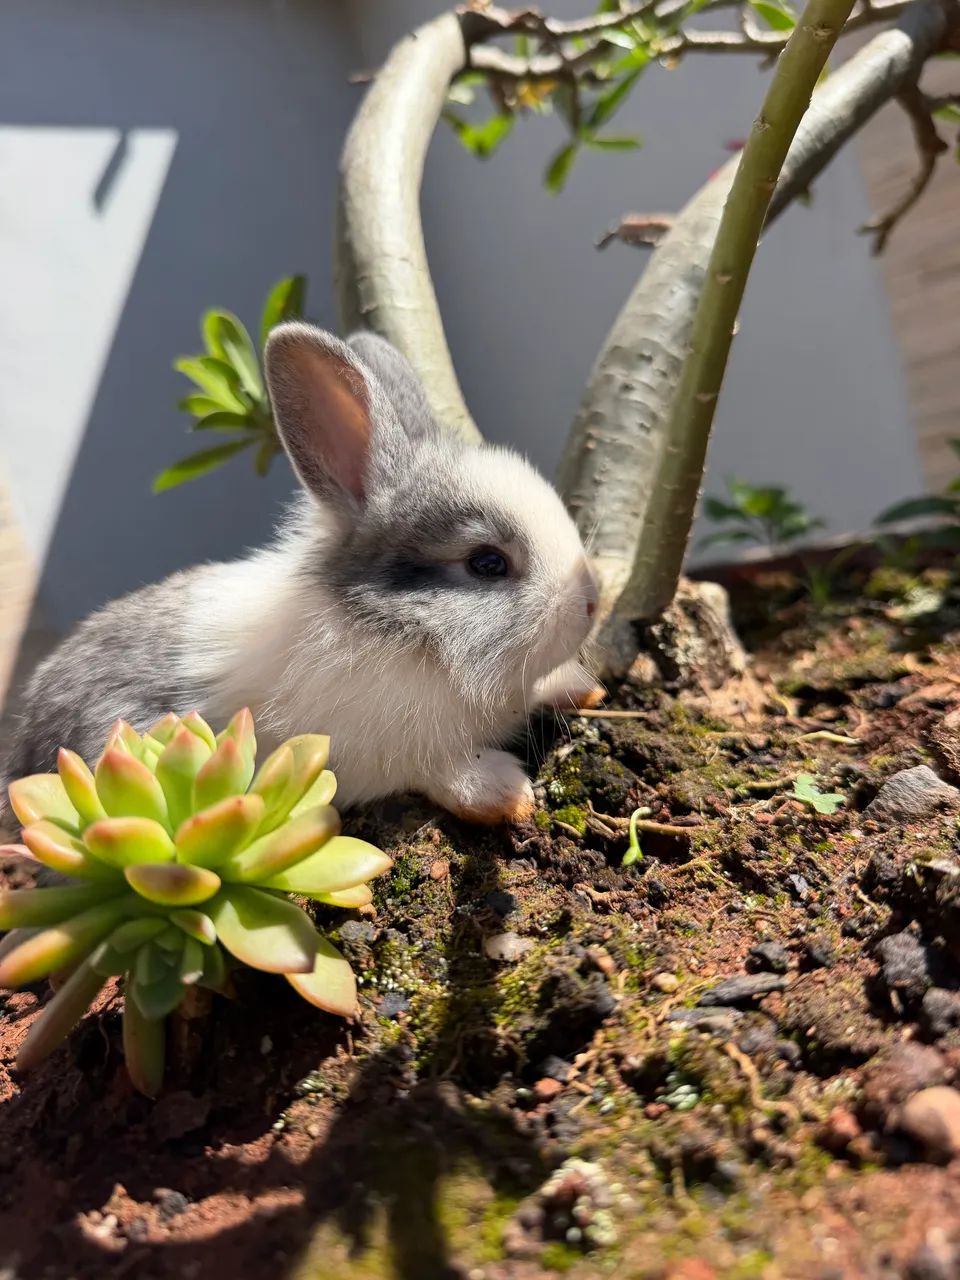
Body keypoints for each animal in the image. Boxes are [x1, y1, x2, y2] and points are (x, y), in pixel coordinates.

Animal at [1, 324, 601, 826]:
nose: (593, 600)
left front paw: (584, 688)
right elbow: (445, 768)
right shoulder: (387, 751)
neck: (402, 633)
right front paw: (506, 795)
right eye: (486, 563)